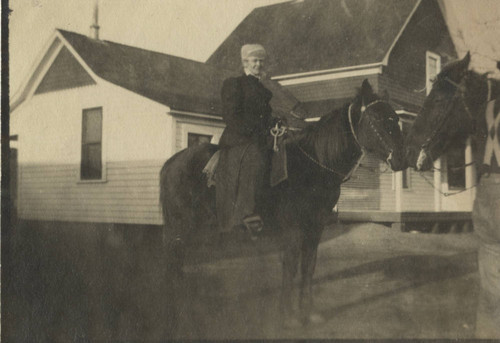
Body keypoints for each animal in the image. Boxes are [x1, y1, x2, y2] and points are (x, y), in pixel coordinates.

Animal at [160, 79, 406, 330]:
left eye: (395, 118)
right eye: (375, 119)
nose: (401, 159)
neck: (312, 166)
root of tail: (172, 162)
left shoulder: (314, 229)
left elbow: (308, 267)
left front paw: (309, 312)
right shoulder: (293, 230)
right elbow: (291, 267)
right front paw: (288, 316)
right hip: (179, 227)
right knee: (172, 261)